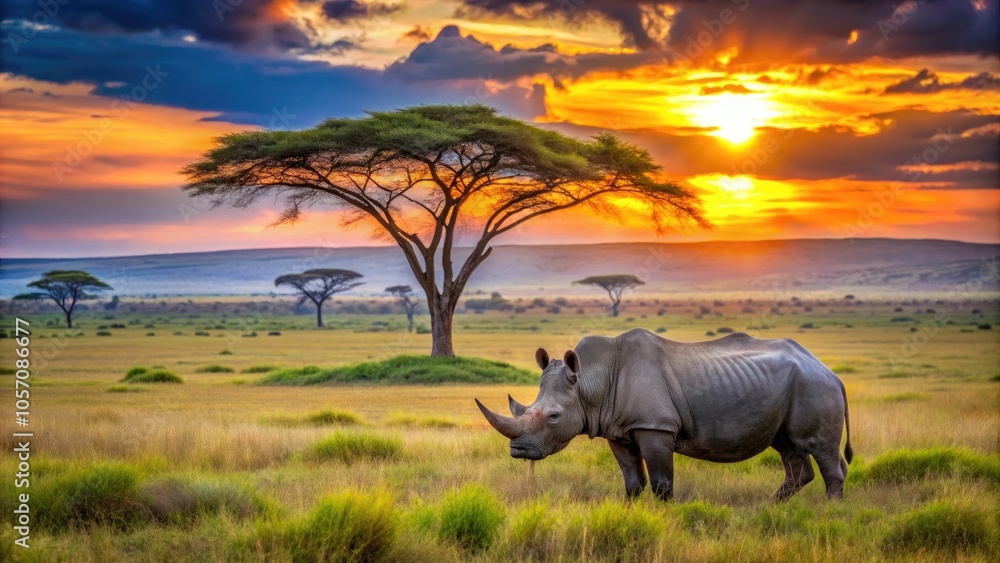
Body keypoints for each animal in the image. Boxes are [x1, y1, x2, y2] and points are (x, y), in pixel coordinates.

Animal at [475, 329, 852, 501]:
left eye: (553, 417)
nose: (518, 450)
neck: (589, 380)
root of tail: (832, 373)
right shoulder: (617, 428)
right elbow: (632, 482)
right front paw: (630, 512)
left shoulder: (655, 427)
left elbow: (660, 483)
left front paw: (666, 515)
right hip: (797, 388)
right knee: (789, 446)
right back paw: (772, 506)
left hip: (814, 386)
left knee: (819, 448)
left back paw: (828, 513)